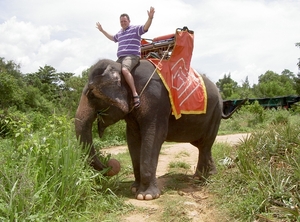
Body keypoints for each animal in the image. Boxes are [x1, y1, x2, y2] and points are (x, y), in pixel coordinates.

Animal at [74, 58, 244, 200]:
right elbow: (133, 139)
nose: (111, 163)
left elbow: (154, 137)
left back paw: (203, 178)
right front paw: (134, 189)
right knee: (202, 146)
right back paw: (204, 176)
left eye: (91, 95)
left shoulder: (155, 100)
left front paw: (146, 196)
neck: (124, 68)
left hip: (215, 113)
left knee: (206, 144)